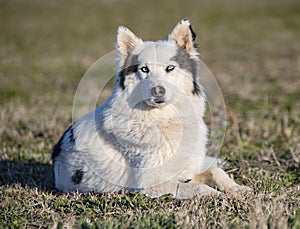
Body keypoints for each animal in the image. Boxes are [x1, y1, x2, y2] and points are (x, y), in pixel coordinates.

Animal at [52, 19, 251, 199]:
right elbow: (199, 188)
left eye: (170, 68)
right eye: (144, 69)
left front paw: (237, 189)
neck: (164, 120)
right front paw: (219, 195)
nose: (158, 91)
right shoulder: (152, 184)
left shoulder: (186, 172)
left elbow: (216, 172)